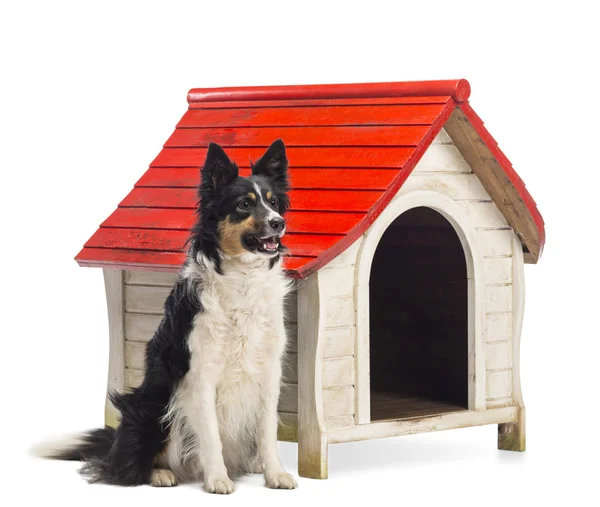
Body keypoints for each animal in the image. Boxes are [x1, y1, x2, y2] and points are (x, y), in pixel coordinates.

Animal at [36, 140, 298, 496]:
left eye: (273, 203)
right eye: (244, 204)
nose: (278, 223)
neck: (242, 278)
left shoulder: (269, 370)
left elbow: (268, 431)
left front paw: (275, 474)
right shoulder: (200, 373)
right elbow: (211, 436)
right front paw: (217, 479)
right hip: (152, 406)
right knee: (123, 467)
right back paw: (159, 473)